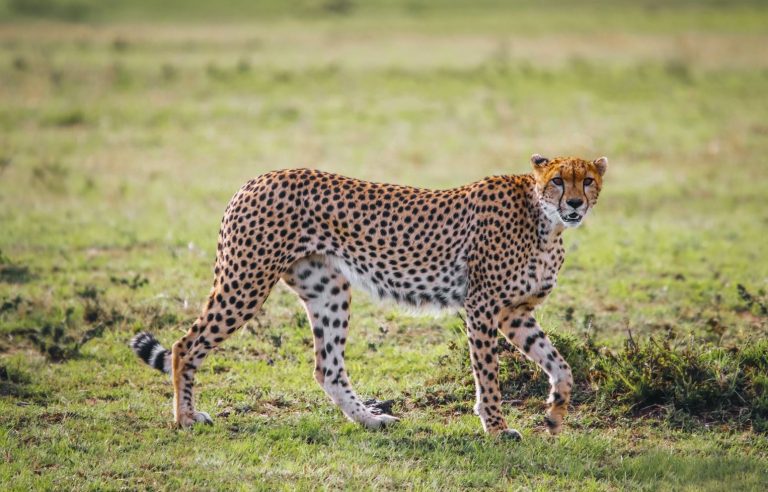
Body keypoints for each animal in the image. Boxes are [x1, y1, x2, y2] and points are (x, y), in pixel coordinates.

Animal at [131, 153, 608, 439]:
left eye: (587, 180)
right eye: (557, 181)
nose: (575, 204)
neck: (545, 223)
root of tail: (258, 178)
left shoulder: (515, 313)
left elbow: (561, 365)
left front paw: (554, 413)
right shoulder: (483, 308)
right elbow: (488, 375)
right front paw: (496, 427)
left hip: (327, 289)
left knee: (327, 368)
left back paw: (371, 419)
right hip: (245, 282)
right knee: (185, 345)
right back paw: (185, 418)